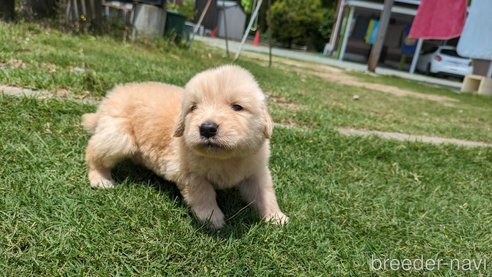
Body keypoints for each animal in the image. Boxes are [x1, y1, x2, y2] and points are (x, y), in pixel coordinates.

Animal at [81, 64, 288, 226]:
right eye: (193, 107)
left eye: (237, 107)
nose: (207, 128)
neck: (225, 157)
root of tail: (111, 95)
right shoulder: (188, 172)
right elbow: (204, 192)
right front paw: (211, 217)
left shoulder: (256, 170)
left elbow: (265, 193)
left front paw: (276, 216)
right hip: (118, 137)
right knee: (93, 152)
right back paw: (100, 179)